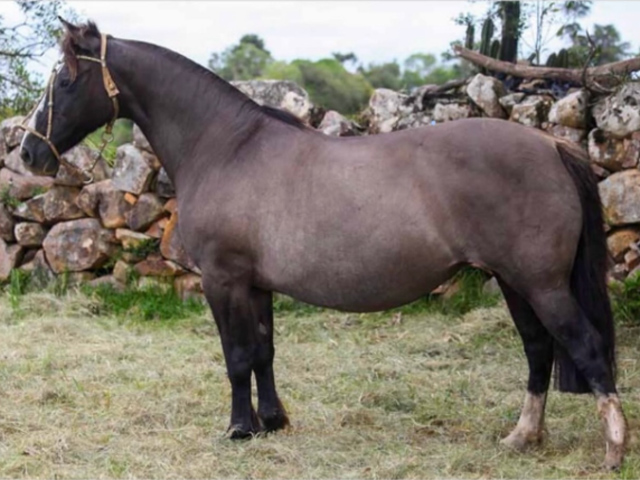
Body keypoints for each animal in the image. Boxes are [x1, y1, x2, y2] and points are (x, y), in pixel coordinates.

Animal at [19, 20, 627, 469]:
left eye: (65, 82)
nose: (28, 152)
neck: (225, 147)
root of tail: (550, 146)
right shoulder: (255, 284)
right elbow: (263, 352)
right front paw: (272, 423)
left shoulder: (222, 279)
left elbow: (236, 356)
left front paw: (238, 429)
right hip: (514, 281)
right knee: (539, 350)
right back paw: (522, 438)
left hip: (540, 283)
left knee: (585, 346)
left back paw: (614, 450)